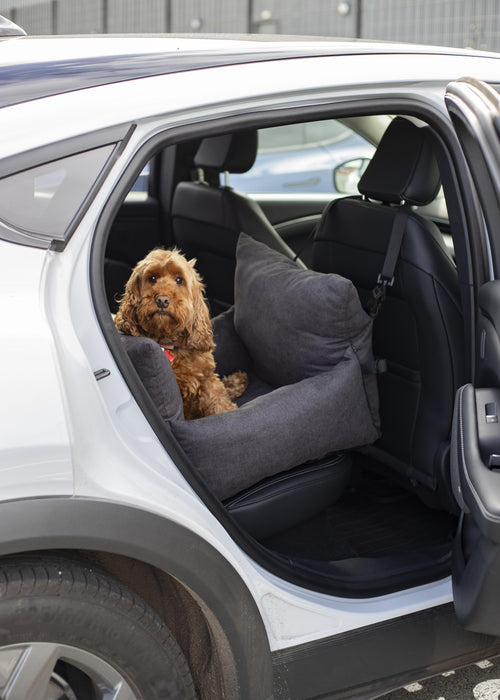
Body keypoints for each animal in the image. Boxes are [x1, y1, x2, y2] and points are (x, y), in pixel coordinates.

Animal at [113, 249, 246, 418]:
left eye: (179, 280)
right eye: (152, 278)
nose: (162, 300)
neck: (169, 343)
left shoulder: (206, 379)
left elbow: (220, 401)